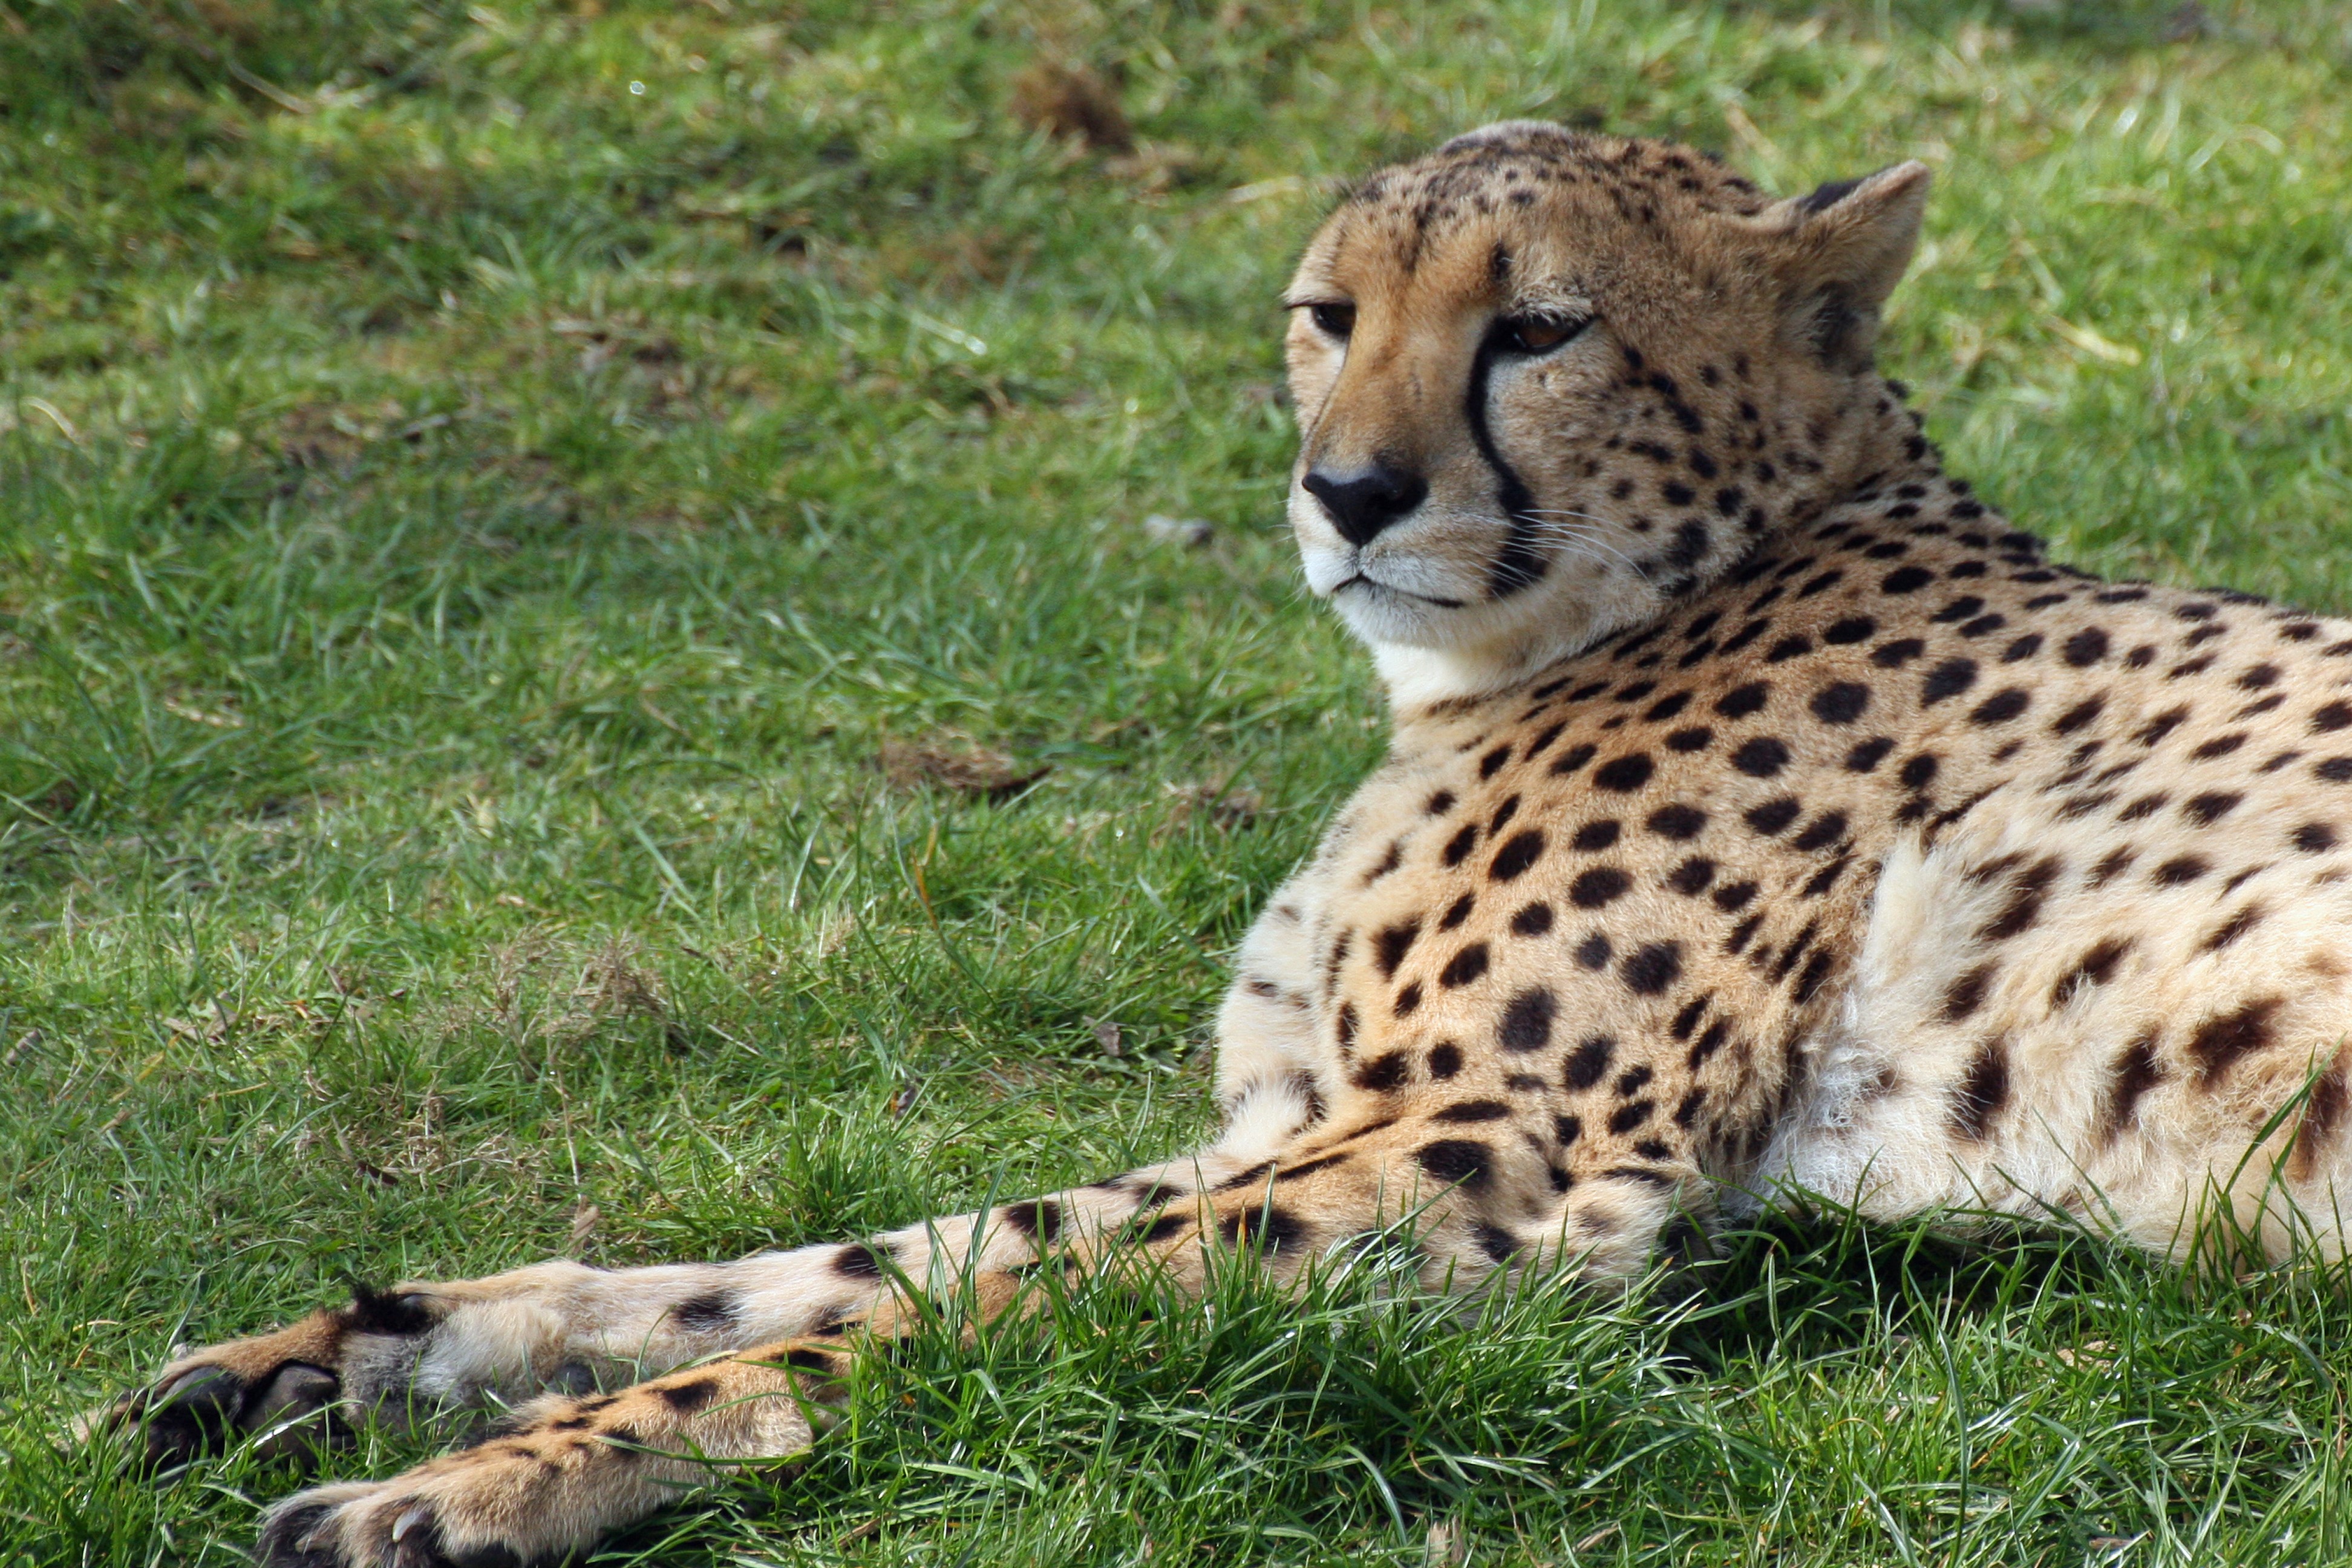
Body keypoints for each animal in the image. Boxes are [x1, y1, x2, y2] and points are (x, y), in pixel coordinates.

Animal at [98, 122, 2352, 1567]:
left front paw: (480, 1485)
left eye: (1538, 329)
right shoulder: (1308, 1120)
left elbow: (908, 1318)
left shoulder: (1494, 1157)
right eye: (1325, 312)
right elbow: (852, 1260)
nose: (1345, 493)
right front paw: (345, 1356)